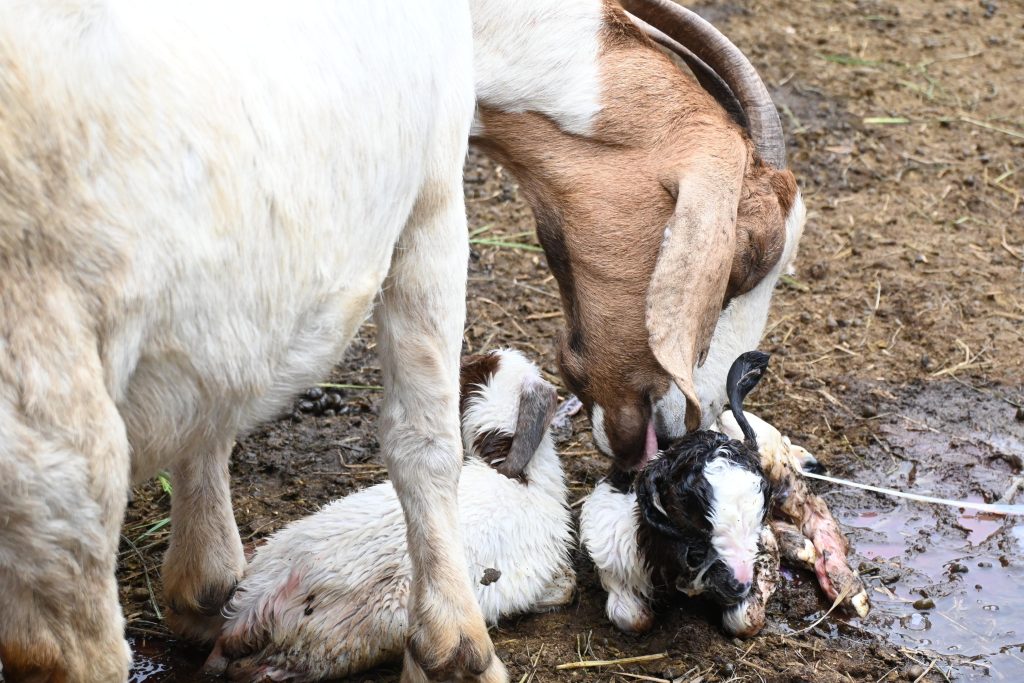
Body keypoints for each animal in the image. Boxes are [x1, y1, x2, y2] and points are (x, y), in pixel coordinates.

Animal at [581, 353, 869, 638]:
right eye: (688, 510)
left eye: (757, 517)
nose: (738, 584)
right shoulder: (609, 546)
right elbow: (632, 619)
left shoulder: (762, 548)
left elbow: (745, 620)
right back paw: (799, 546)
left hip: (778, 465)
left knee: (815, 510)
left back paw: (845, 588)